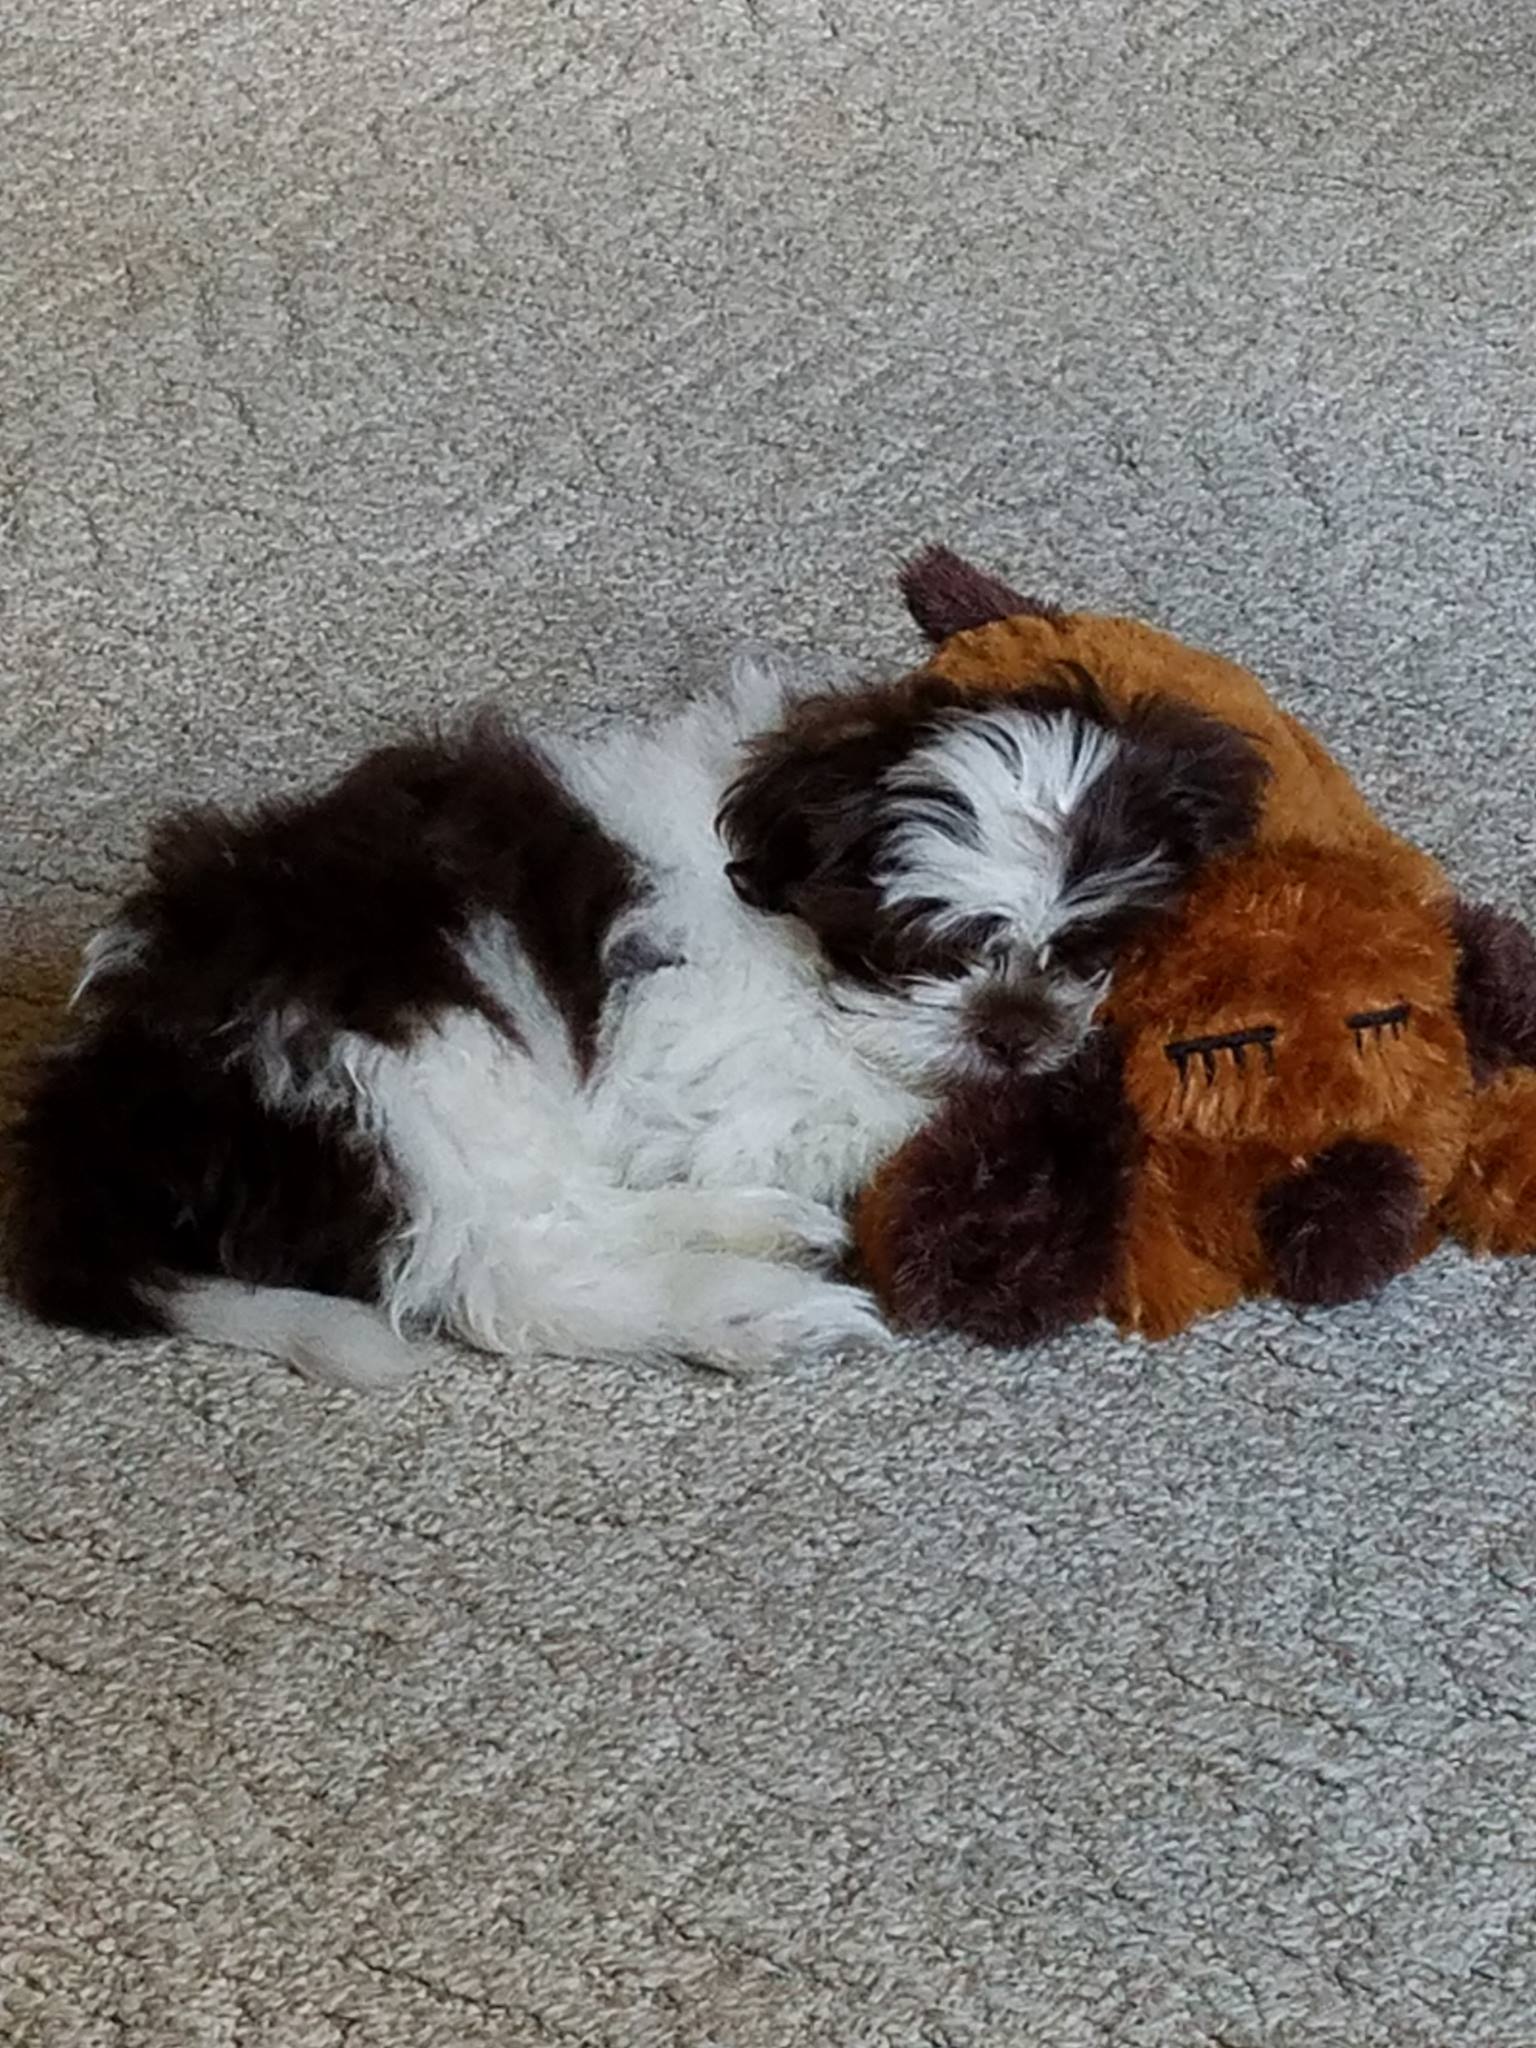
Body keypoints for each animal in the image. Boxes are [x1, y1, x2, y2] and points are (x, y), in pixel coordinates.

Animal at [6, 551, 1261, 1386]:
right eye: (919, 947)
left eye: (1089, 946)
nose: (1013, 1021)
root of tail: (105, 1108)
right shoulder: (708, 1059)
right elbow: (869, 1106)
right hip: (420, 1051)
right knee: (502, 1269)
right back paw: (753, 1304)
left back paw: (755, 1229)